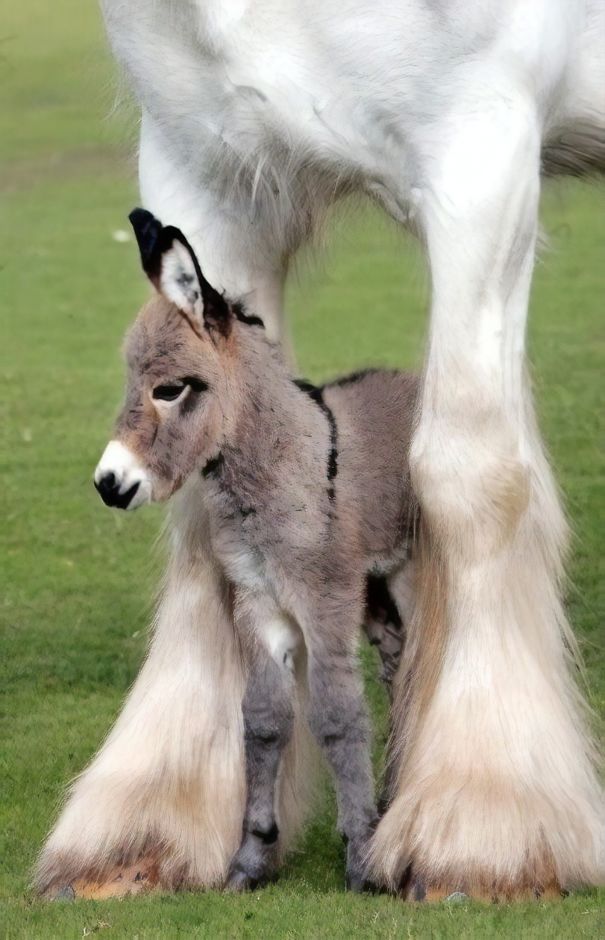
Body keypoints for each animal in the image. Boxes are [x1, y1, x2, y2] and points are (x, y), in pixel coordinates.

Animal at [94, 211, 418, 888]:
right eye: (133, 383)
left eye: (171, 390)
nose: (109, 483)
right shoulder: (258, 601)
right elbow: (263, 719)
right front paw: (252, 855)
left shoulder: (323, 604)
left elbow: (336, 715)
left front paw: (360, 857)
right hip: (375, 593)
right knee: (398, 665)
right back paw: (394, 791)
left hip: (408, 572)